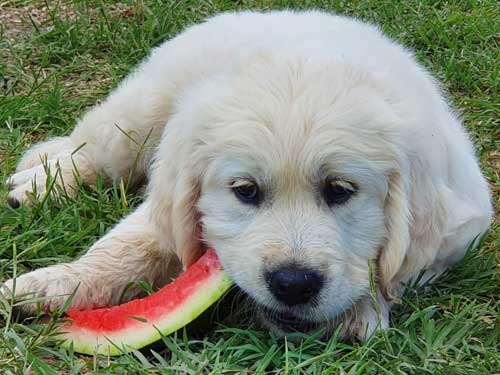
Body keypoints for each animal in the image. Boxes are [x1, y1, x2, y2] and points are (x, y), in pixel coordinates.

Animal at [3, 11, 492, 340]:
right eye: (245, 191)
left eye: (340, 191)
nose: (293, 284)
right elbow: (127, 247)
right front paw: (50, 285)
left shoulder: (459, 229)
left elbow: (396, 266)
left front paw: (358, 307)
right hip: (141, 110)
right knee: (96, 148)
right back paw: (39, 184)